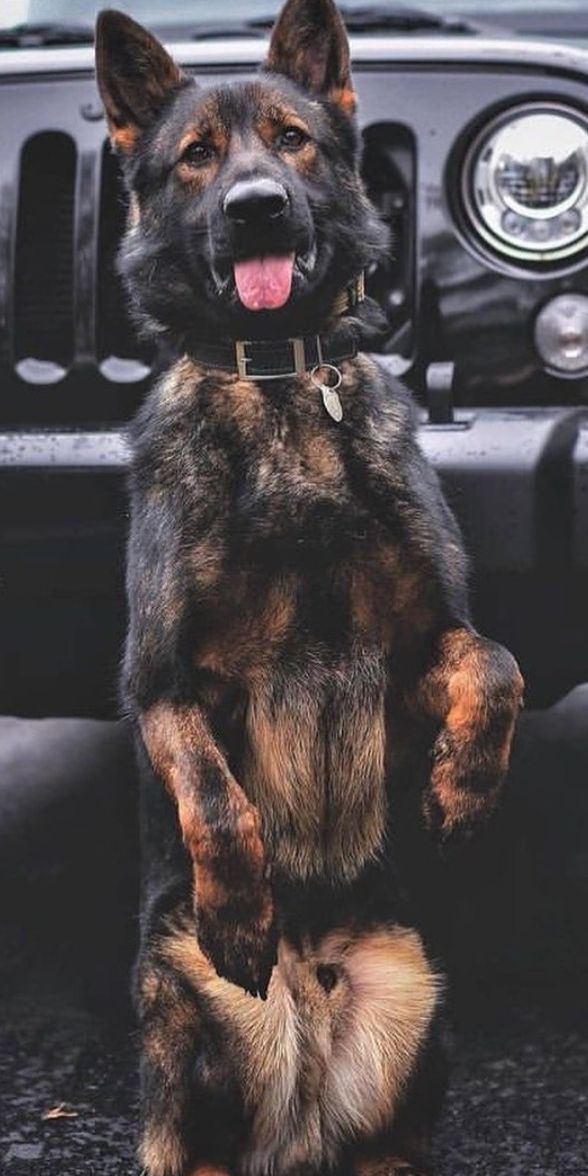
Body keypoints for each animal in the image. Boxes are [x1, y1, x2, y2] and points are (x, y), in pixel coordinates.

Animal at [96, 4, 524, 1171]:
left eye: (291, 140)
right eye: (198, 158)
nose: (258, 208)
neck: (282, 381)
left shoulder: (421, 651)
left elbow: (497, 668)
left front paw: (464, 791)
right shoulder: (163, 685)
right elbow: (214, 798)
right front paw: (243, 913)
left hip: (419, 1005)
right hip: (183, 1014)